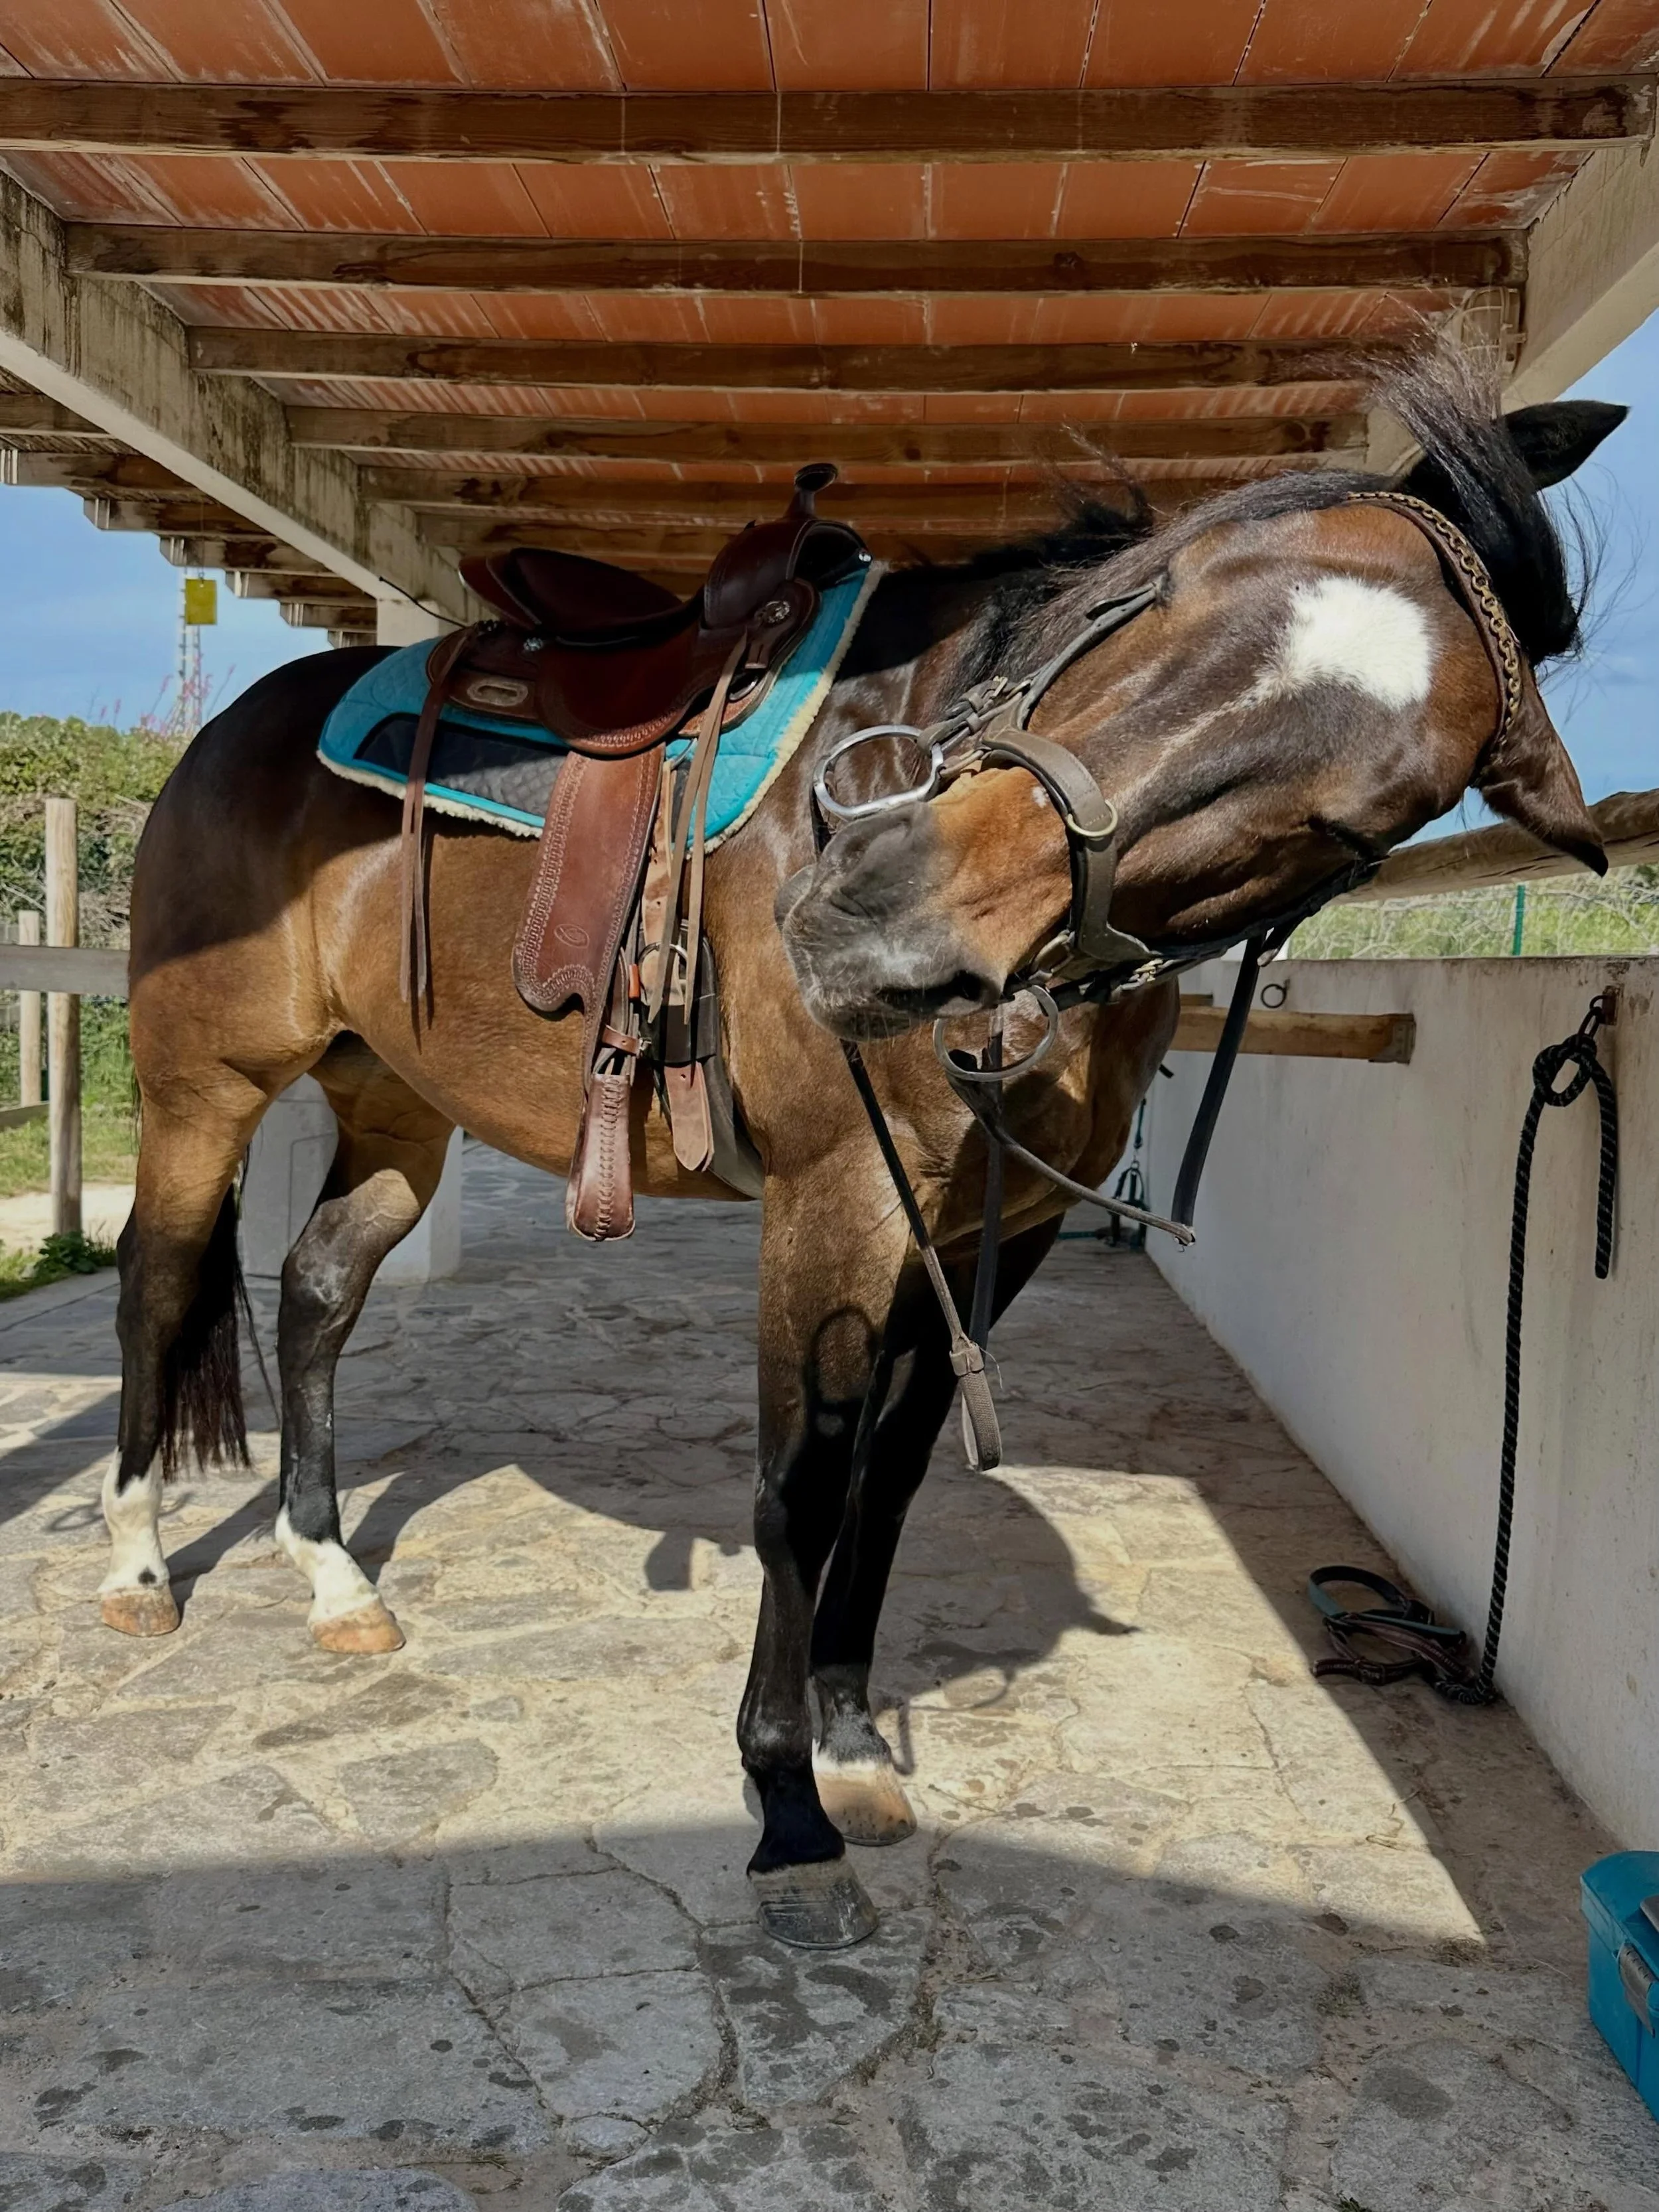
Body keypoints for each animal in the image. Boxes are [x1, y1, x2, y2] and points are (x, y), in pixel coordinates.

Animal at [104, 360, 1619, 1947]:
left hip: (397, 1108)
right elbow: (801, 1486)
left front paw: (849, 1743)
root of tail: (240, 725)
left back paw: (331, 1573)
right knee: (157, 1281)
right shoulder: (833, 1200)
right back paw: (138, 1567)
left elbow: (886, 1485)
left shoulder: (988, 1236)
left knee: (315, 1289)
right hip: (202, 1088)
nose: (886, 926)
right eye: (1161, 593)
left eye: (1353, 824)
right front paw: (784, 1800)